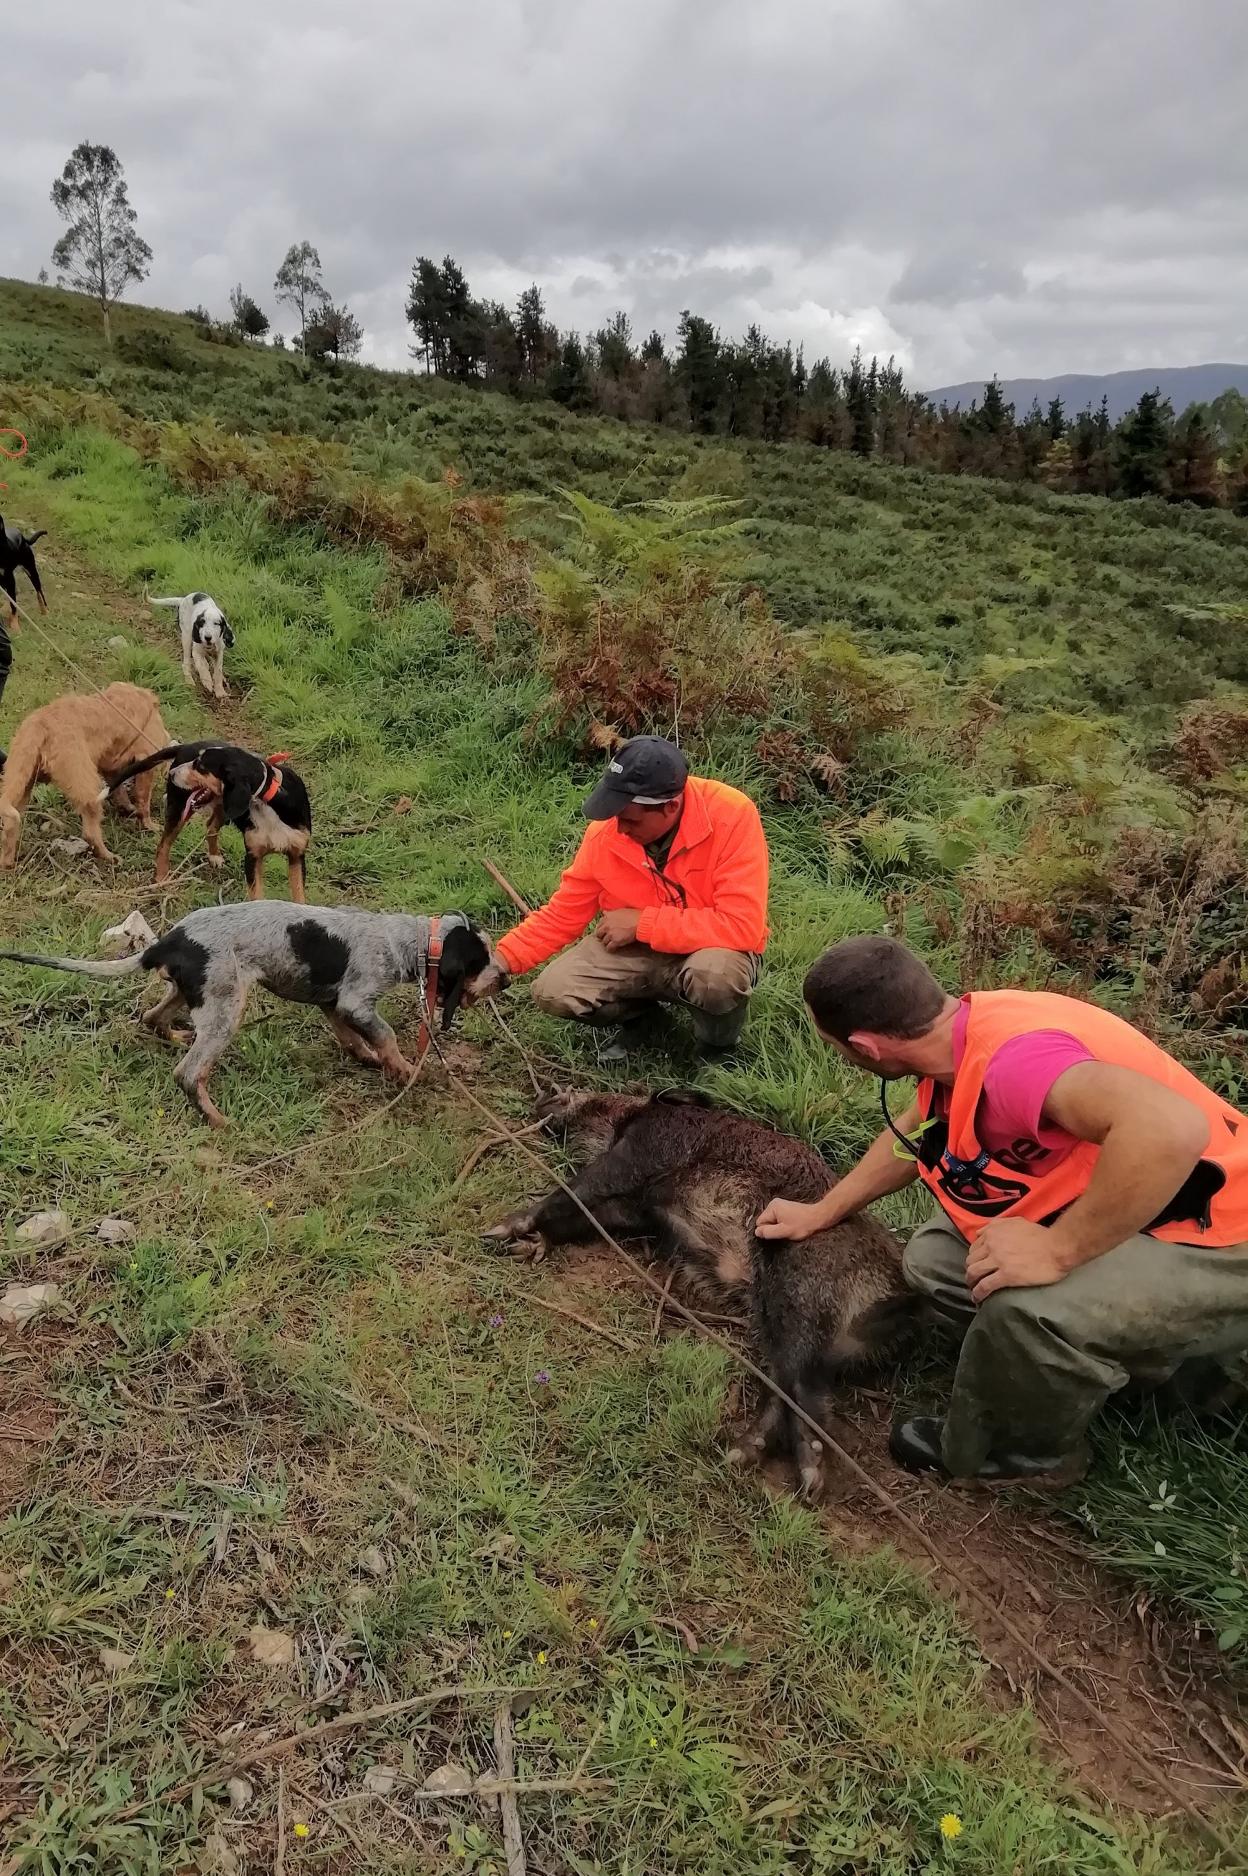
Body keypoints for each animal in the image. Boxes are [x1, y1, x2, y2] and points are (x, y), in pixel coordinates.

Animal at [0, 682, 168, 870]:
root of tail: (40, 724)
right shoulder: (146, 760)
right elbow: (144, 802)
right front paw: (149, 825)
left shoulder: (110, 768)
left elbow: (120, 791)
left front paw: (127, 808)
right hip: (87, 786)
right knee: (90, 833)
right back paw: (109, 857)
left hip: (19, 781)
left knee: (10, 825)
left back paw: (7, 864)